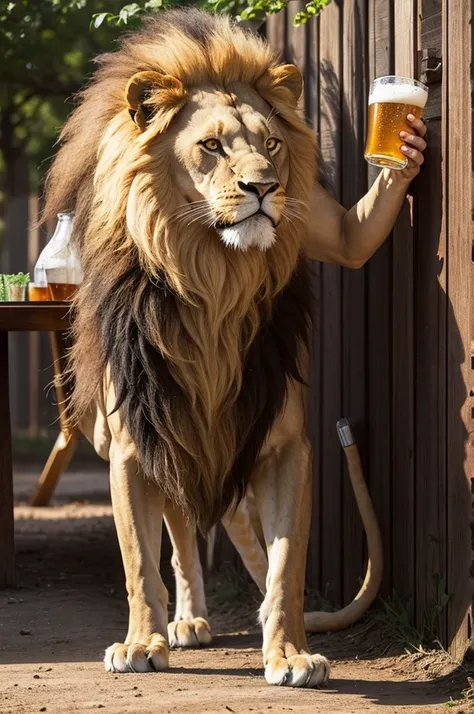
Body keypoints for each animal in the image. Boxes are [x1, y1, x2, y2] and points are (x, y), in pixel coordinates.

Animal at [42, 8, 384, 688]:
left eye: (272, 143)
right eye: (212, 145)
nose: (265, 187)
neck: (215, 279)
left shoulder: (285, 445)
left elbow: (285, 566)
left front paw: (290, 653)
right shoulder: (133, 445)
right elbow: (139, 561)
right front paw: (140, 644)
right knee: (177, 537)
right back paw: (187, 622)